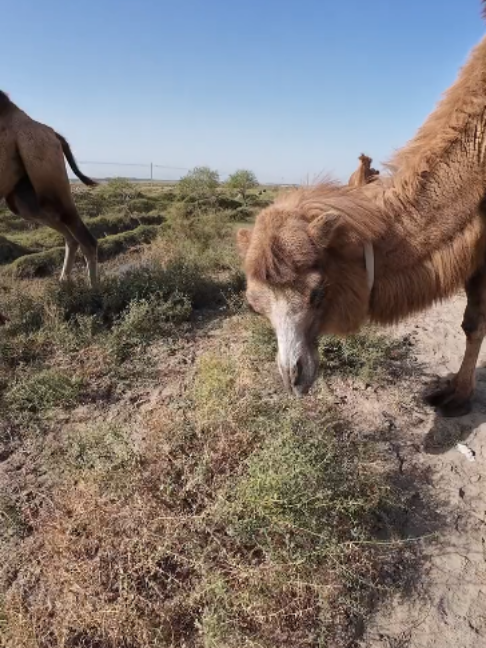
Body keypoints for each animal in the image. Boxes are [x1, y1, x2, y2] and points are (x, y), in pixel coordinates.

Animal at [0, 91, 98, 288]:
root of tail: (53, 133)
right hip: (24, 196)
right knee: (70, 235)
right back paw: (63, 281)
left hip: (44, 165)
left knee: (82, 235)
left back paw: (95, 289)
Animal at [237, 8, 486, 418]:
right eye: (254, 304)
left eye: (318, 292)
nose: (293, 376)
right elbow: (471, 322)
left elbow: (474, 322)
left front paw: (459, 397)